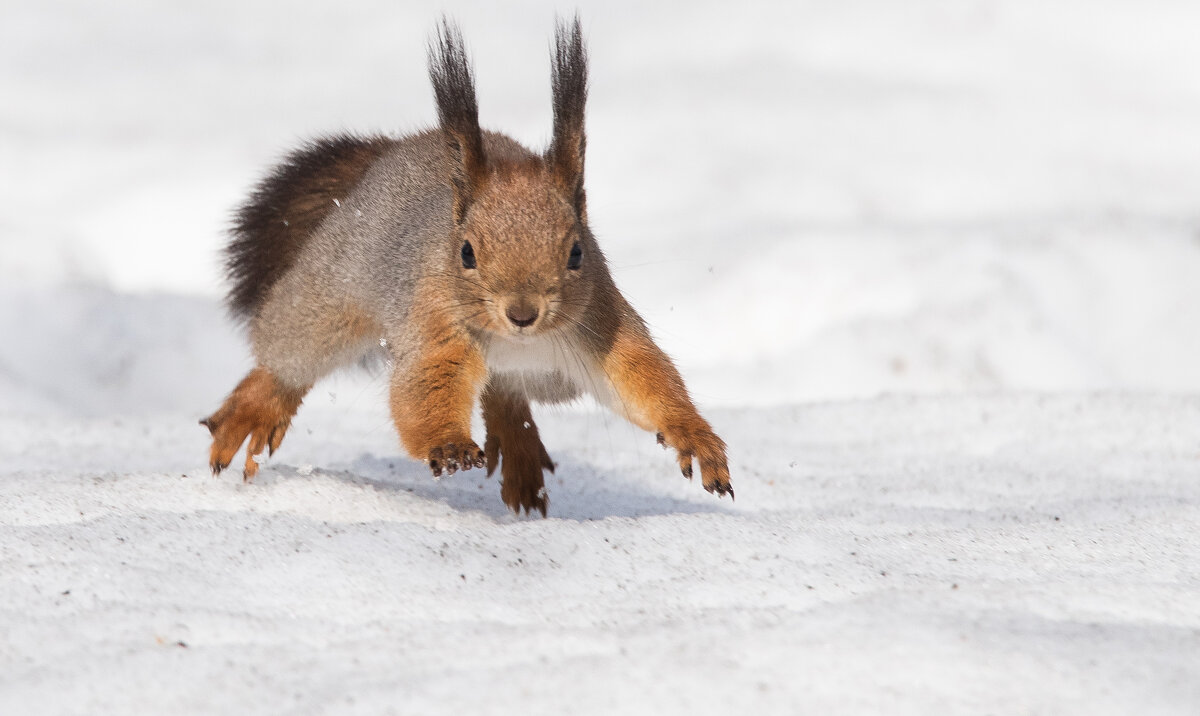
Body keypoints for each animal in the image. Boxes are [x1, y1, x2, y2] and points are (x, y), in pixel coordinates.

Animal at [202, 19, 729, 515]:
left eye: (578, 253)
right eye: (467, 253)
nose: (522, 314)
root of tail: (392, 151)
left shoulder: (600, 321)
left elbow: (639, 376)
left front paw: (694, 435)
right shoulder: (434, 320)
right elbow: (425, 383)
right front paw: (450, 443)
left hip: (545, 377)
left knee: (504, 395)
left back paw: (520, 454)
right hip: (332, 291)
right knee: (289, 354)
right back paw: (254, 411)